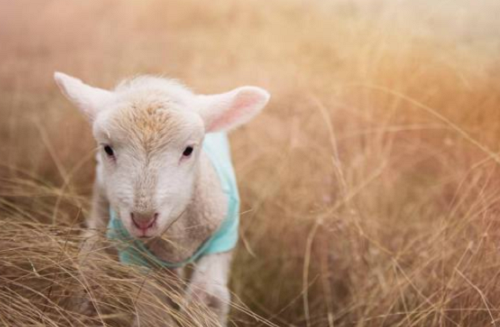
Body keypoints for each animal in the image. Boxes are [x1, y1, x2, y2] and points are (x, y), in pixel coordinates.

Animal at [53, 72, 270, 326]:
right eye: (107, 149)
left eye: (188, 150)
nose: (143, 219)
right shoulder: (139, 256)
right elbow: (152, 311)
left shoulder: (221, 240)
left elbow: (208, 299)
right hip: (102, 205)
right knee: (92, 261)